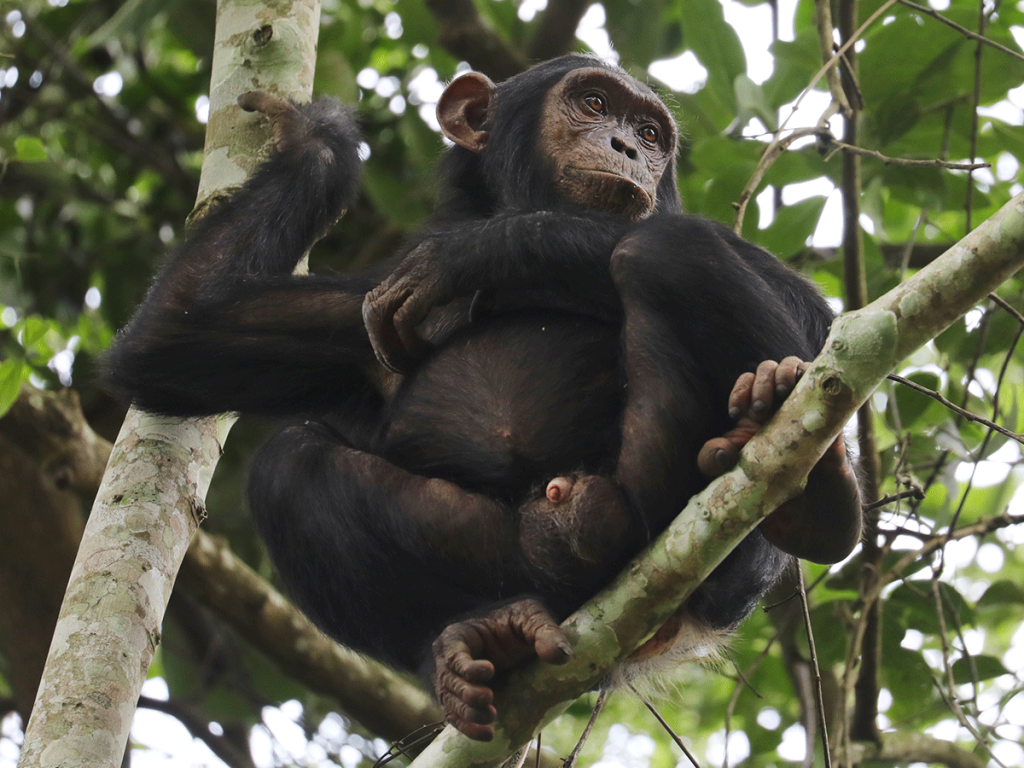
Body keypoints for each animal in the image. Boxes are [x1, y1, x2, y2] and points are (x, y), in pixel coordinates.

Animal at [103, 57, 860, 741]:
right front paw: (314, 135)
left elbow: (816, 318)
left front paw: (491, 249)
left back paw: (813, 492)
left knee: (662, 248)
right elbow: (179, 337)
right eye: (593, 103)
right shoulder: (350, 308)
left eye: (650, 132)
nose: (627, 147)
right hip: (521, 565)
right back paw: (471, 642)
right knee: (287, 463)